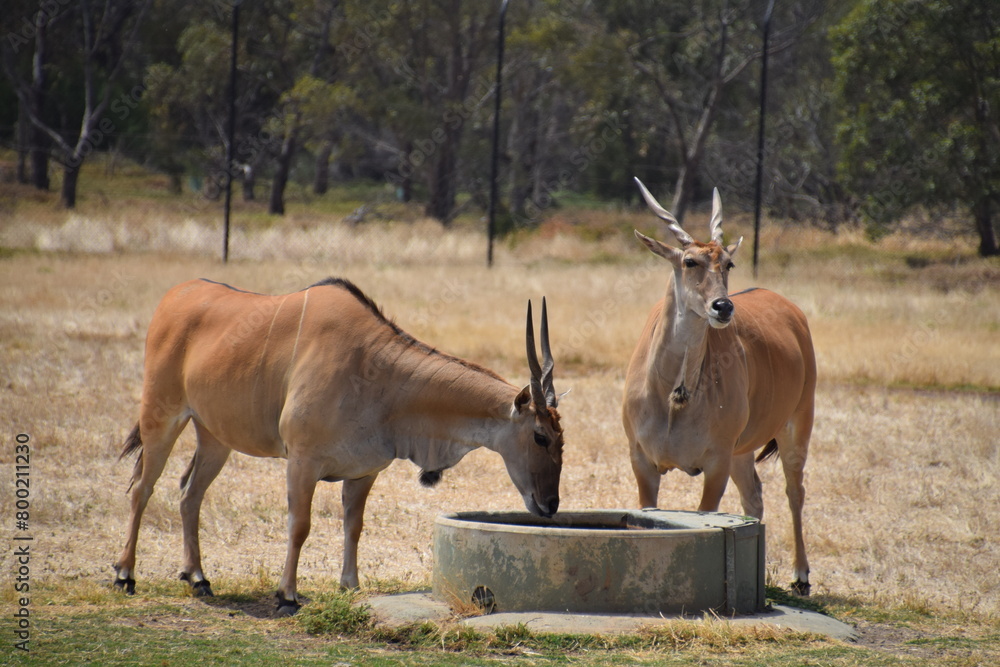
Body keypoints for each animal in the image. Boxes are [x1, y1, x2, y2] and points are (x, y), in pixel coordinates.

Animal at [114, 277, 563, 615]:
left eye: (562, 437)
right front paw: (287, 596)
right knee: (141, 489)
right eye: (540, 436)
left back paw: (198, 578)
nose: (550, 505)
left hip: (214, 437)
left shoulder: (364, 472)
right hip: (161, 417)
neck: (378, 370)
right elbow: (300, 525)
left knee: (189, 494)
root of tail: (176, 295)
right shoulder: (302, 461)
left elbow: (354, 525)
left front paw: (350, 585)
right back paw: (125, 575)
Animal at [623, 178, 816, 595]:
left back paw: (801, 576)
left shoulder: (715, 464)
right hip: (743, 450)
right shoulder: (642, 460)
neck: (674, 398)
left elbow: (706, 514)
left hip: (796, 424)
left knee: (794, 491)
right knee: (755, 498)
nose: (723, 307)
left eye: (728, 263)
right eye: (689, 261)